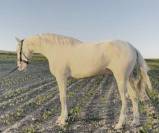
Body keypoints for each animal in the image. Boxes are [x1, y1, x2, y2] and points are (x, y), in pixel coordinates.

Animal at [15, 33, 152, 129]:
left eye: (18, 50)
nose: (20, 67)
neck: (56, 49)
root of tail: (132, 47)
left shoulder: (61, 78)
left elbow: (62, 97)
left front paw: (62, 120)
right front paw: (62, 118)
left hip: (121, 79)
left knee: (125, 101)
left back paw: (119, 125)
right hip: (129, 79)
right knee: (134, 98)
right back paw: (135, 122)